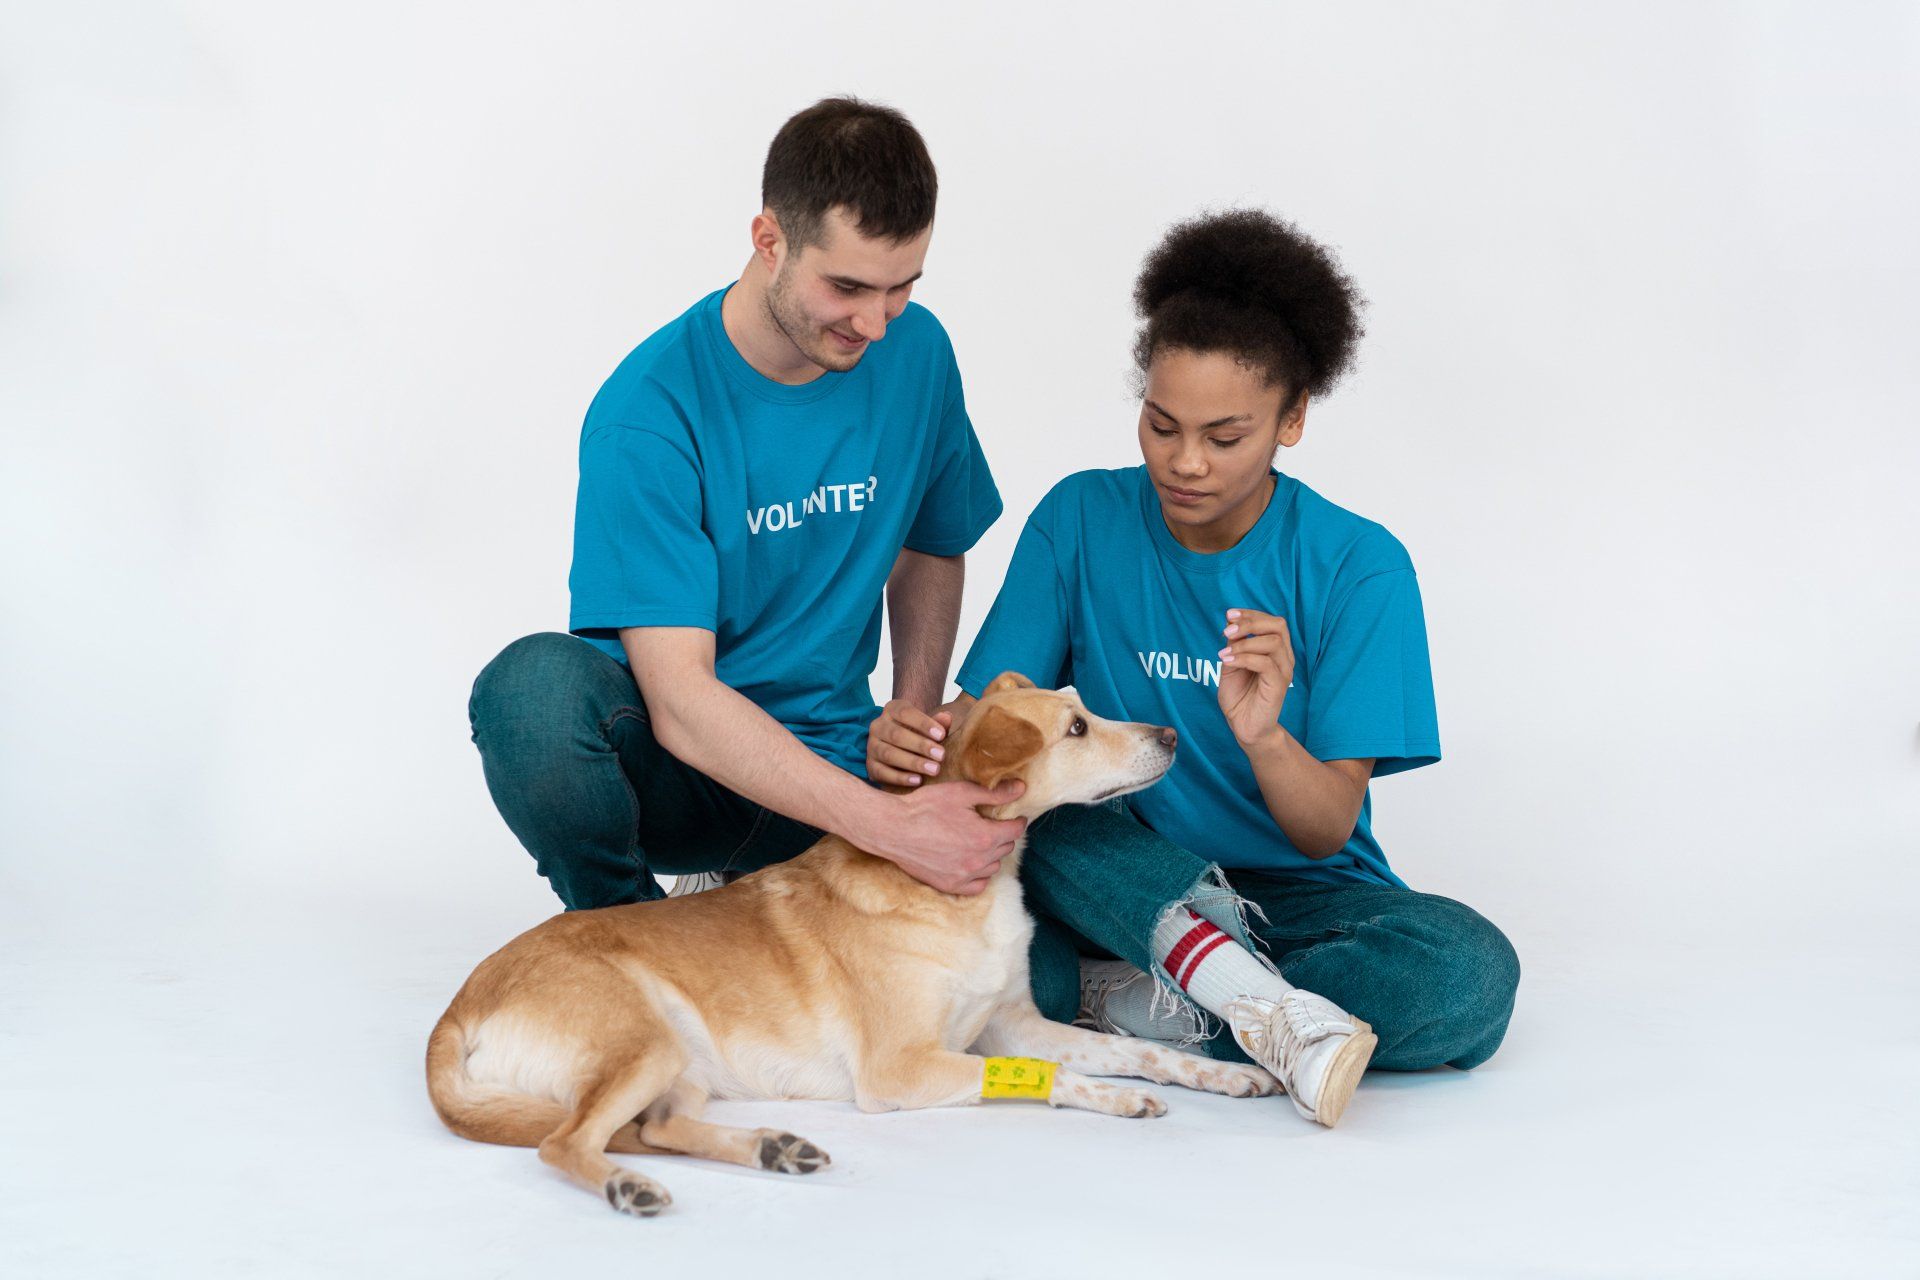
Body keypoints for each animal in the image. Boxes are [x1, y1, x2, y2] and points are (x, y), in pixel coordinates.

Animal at [428, 675, 1282, 1220]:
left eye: (1086, 708)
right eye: (1076, 728)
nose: (1171, 733)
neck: (962, 896)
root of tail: (459, 1005)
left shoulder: (1011, 1023)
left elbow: (1136, 1052)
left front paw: (1220, 1075)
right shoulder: (902, 1068)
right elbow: (1058, 1076)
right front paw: (1115, 1100)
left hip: (678, 1062)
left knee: (657, 1129)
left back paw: (771, 1150)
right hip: (644, 1036)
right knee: (567, 1142)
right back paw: (626, 1189)